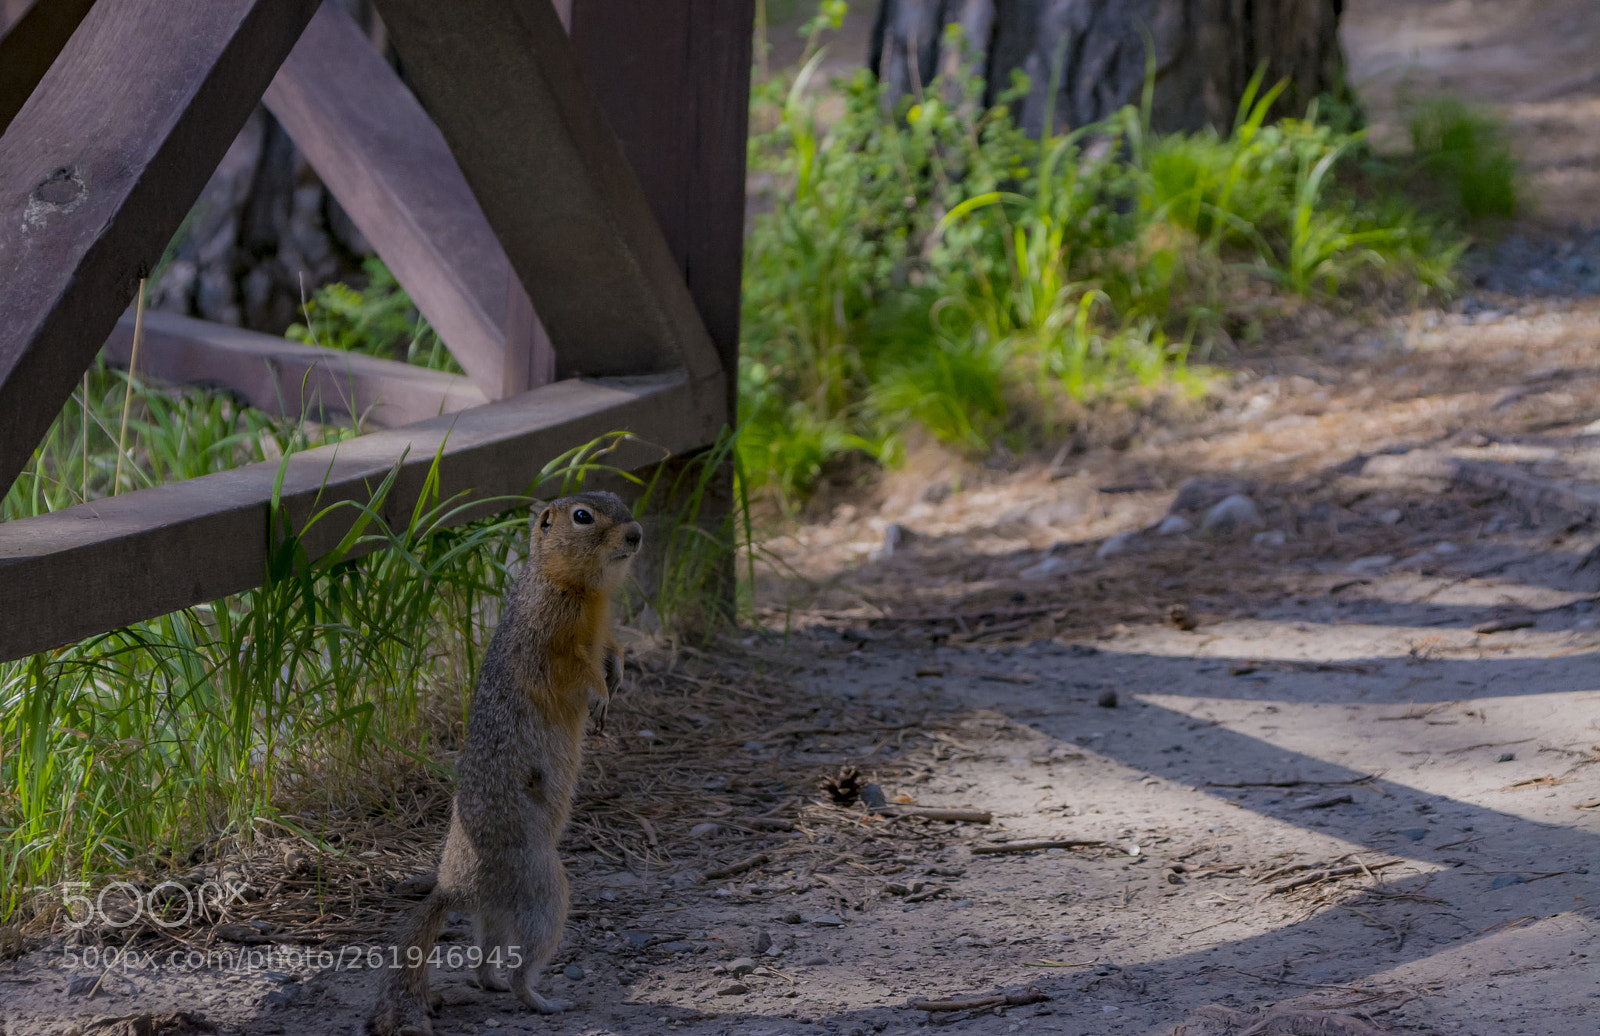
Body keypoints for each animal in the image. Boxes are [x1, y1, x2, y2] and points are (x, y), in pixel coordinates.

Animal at [368, 491, 642, 1036]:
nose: (637, 534)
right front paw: (600, 696)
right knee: (521, 966)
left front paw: (619, 674)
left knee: (482, 958)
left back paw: (492, 983)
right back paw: (542, 1000)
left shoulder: (604, 628)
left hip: (493, 916)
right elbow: (577, 671)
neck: (580, 588)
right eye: (583, 517)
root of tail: (454, 887)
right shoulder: (552, 641)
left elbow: (613, 648)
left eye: (620, 501)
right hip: (544, 891)